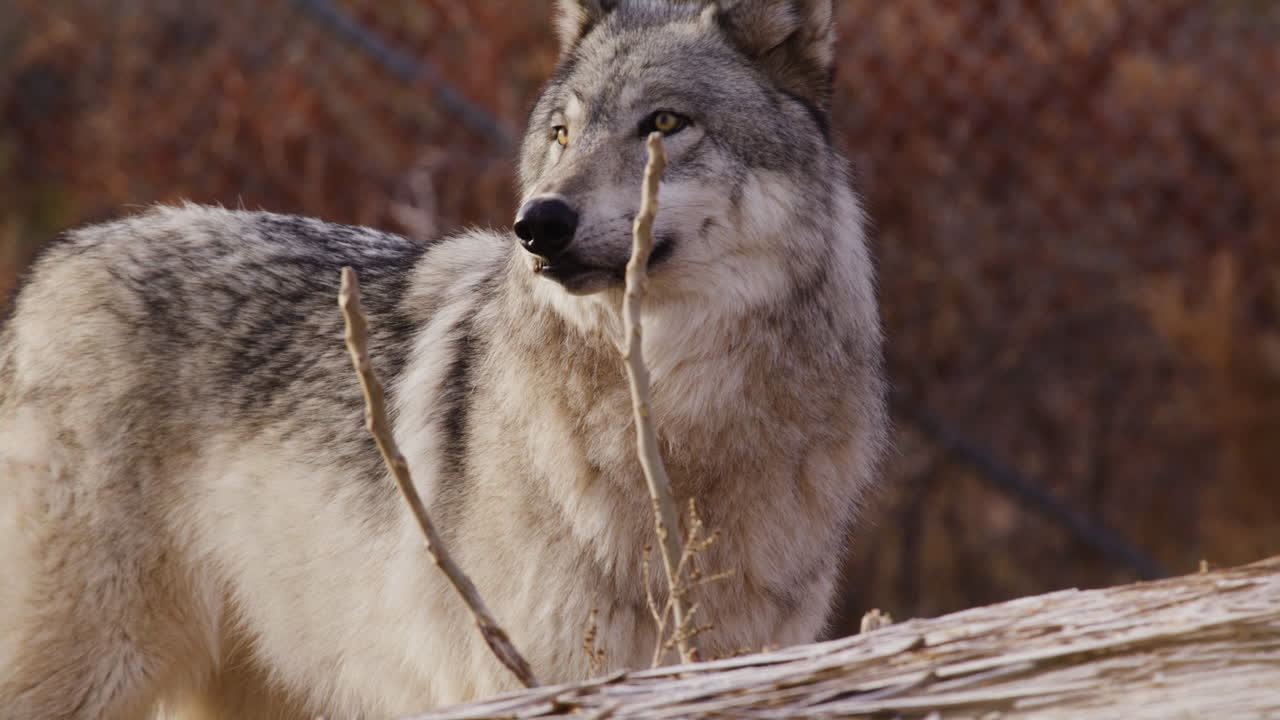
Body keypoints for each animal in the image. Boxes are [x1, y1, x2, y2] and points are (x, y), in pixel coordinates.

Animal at [0, 0, 887, 717]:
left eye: (665, 124)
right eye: (561, 134)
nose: (538, 222)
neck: (676, 422)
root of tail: (56, 264)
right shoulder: (534, 674)